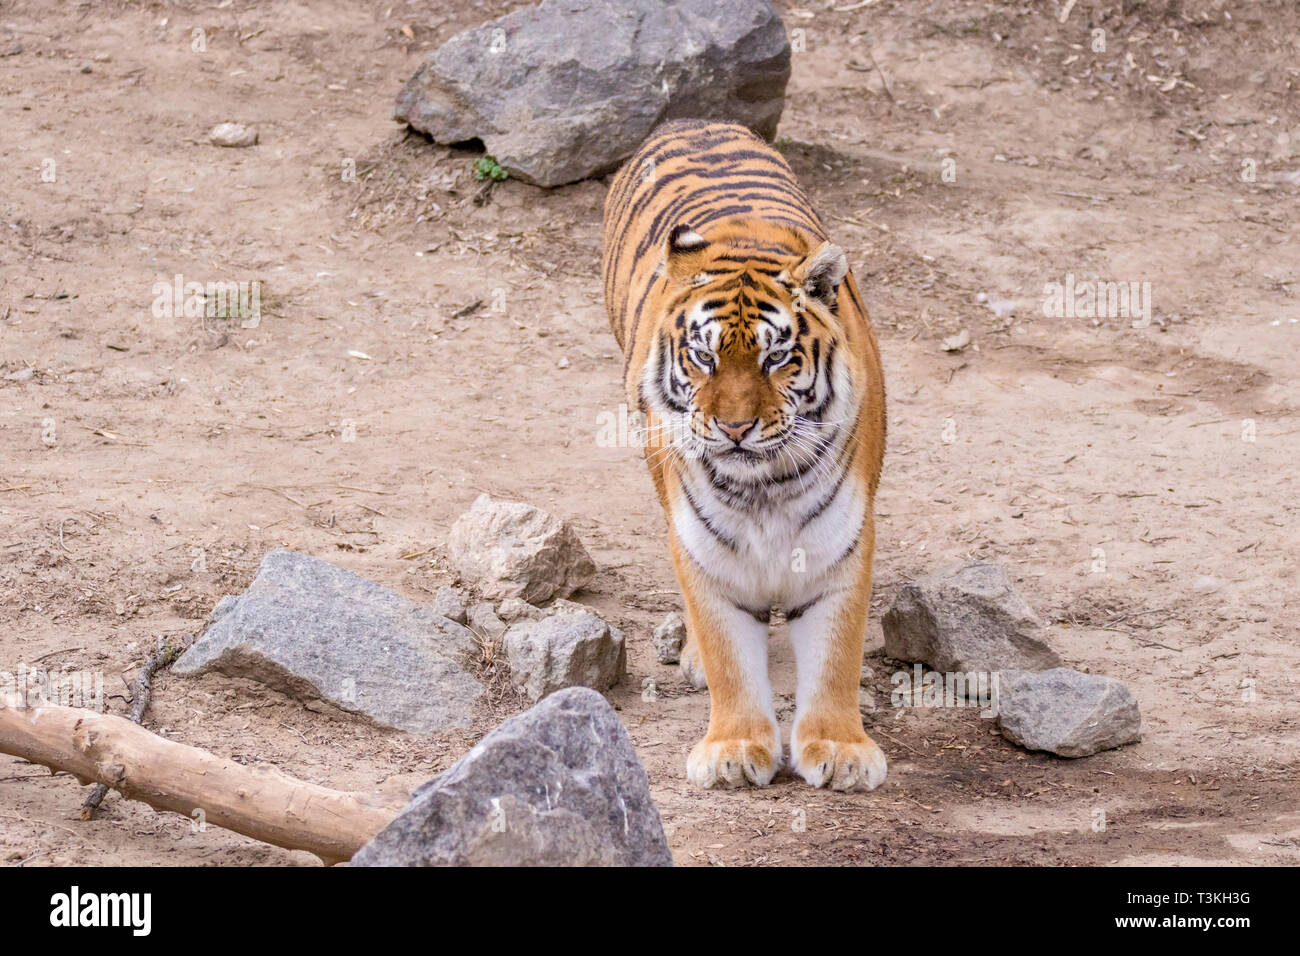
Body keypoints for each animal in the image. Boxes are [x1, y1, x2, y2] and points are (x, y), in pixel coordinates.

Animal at [600, 119, 889, 790]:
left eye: (775, 357)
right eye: (704, 357)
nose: (734, 428)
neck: (764, 488)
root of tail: (696, 119)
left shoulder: (841, 545)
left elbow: (837, 654)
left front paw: (840, 750)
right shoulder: (705, 549)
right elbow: (728, 652)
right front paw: (734, 749)